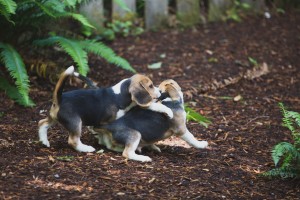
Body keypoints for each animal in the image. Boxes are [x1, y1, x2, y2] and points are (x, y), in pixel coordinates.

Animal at [37, 66, 173, 152]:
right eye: (150, 86)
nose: (160, 92)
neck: (119, 94)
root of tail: (59, 98)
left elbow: (151, 105)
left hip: (54, 117)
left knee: (42, 123)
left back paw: (44, 141)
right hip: (75, 122)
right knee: (72, 140)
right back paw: (86, 148)